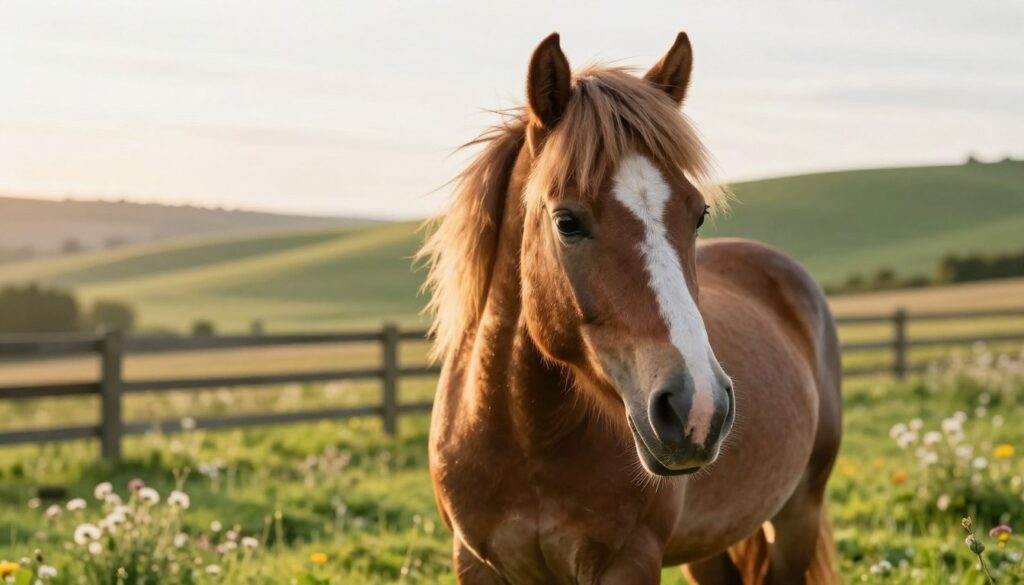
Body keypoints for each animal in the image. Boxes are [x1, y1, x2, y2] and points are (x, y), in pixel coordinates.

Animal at [419, 31, 842, 584]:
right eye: (567, 221)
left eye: (698, 212)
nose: (697, 408)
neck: (527, 438)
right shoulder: (475, 562)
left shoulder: (630, 560)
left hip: (799, 514)